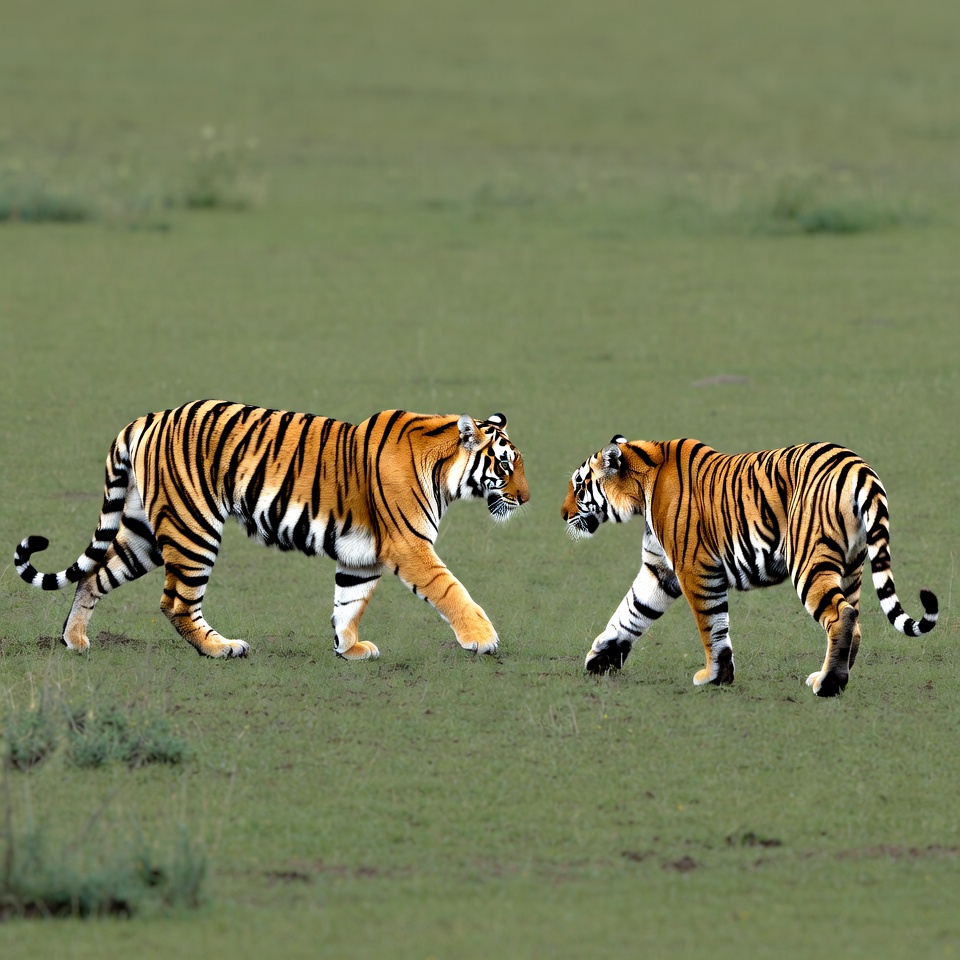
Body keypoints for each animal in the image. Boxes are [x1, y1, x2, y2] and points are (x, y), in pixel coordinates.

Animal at [15, 400, 529, 660]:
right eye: (505, 466)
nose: (526, 499)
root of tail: (148, 417)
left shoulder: (361, 556)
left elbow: (350, 602)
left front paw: (349, 648)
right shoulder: (409, 545)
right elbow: (451, 589)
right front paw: (482, 637)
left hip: (145, 531)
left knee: (93, 573)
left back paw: (75, 640)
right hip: (193, 526)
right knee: (176, 602)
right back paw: (221, 647)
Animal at [561, 437, 937, 697]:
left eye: (578, 485)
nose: (562, 514)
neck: (642, 488)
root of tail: (858, 466)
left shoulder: (694, 568)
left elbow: (712, 626)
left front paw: (715, 676)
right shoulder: (660, 570)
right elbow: (632, 611)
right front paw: (600, 659)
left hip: (809, 561)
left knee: (841, 615)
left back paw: (829, 684)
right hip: (852, 566)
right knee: (855, 618)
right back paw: (833, 677)